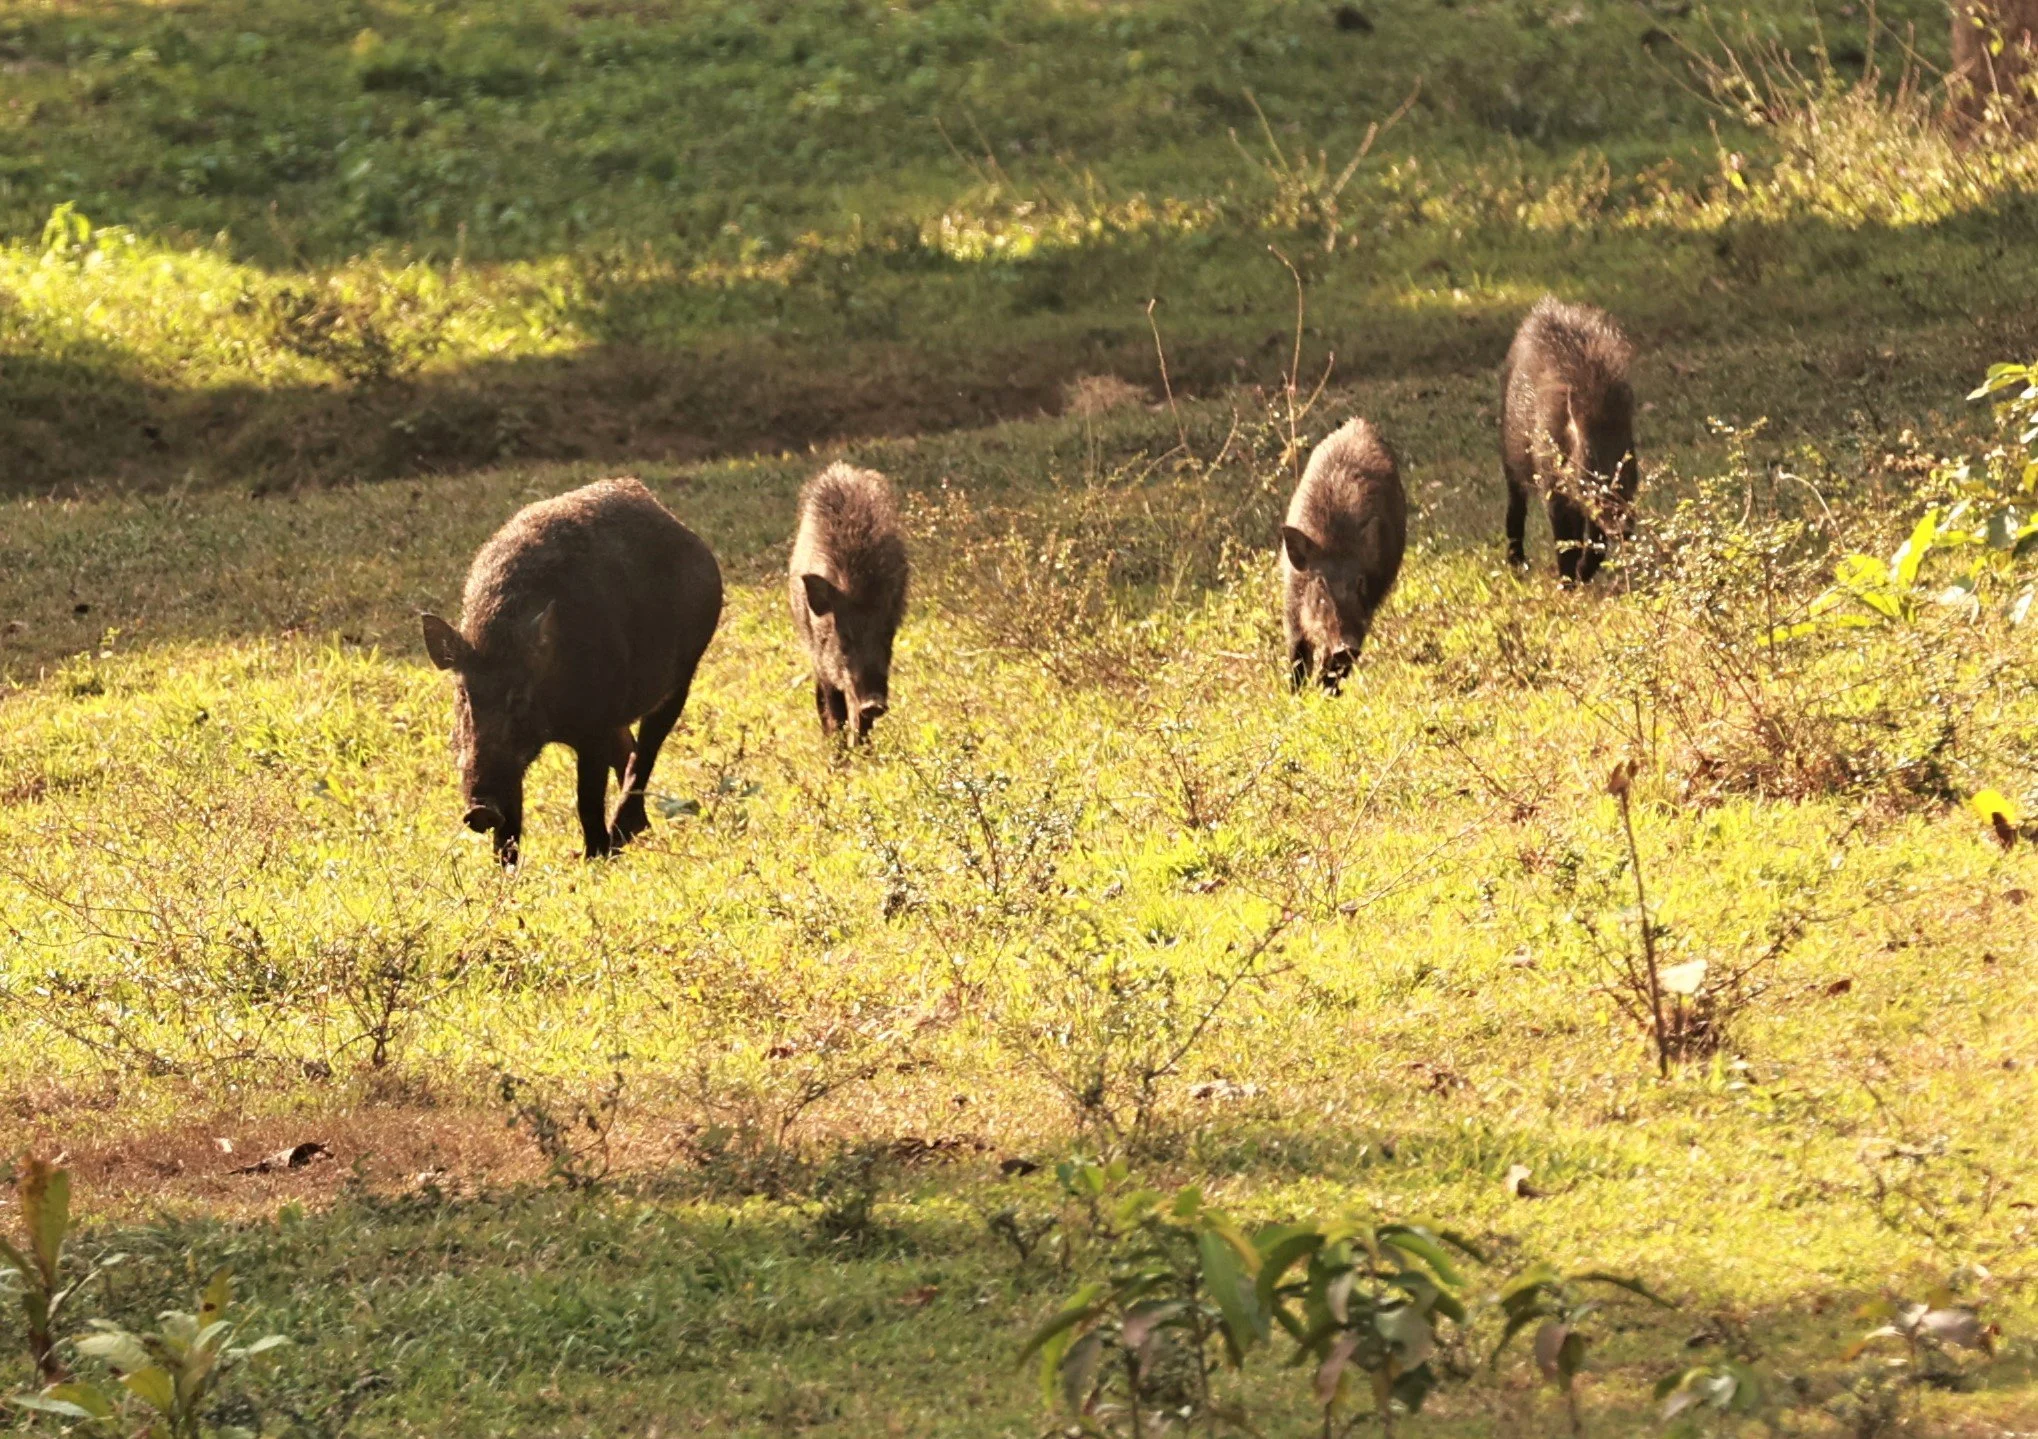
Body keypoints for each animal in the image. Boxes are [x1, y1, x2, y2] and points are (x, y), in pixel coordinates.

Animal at [420, 477, 722, 864]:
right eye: (463, 696)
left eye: (519, 697)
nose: (480, 810)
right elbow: (512, 822)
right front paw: (504, 869)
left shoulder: (594, 728)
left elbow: (587, 798)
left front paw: (594, 858)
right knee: (628, 748)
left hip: (682, 675)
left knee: (645, 751)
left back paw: (622, 835)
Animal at [788, 463, 908, 741]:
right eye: (844, 636)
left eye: (887, 635)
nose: (874, 703)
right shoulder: (822, 659)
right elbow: (835, 711)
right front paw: (838, 750)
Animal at [1280, 418, 1408, 692]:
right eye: (1320, 583)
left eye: (1360, 582)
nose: (1346, 645)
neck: (1336, 542)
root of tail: (1357, 423)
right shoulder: (1292, 605)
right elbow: (1298, 656)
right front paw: (1296, 695)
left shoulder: (1366, 611)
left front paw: (1326, 693)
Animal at [1501, 295, 1641, 585]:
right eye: (1588, 455)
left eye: (1629, 456)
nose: (1625, 529)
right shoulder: (1554, 488)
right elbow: (1566, 541)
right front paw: (1568, 584)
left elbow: (1596, 543)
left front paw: (1581, 575)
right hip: (1510, 459)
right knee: (1516, 506)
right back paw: (1517, 565)